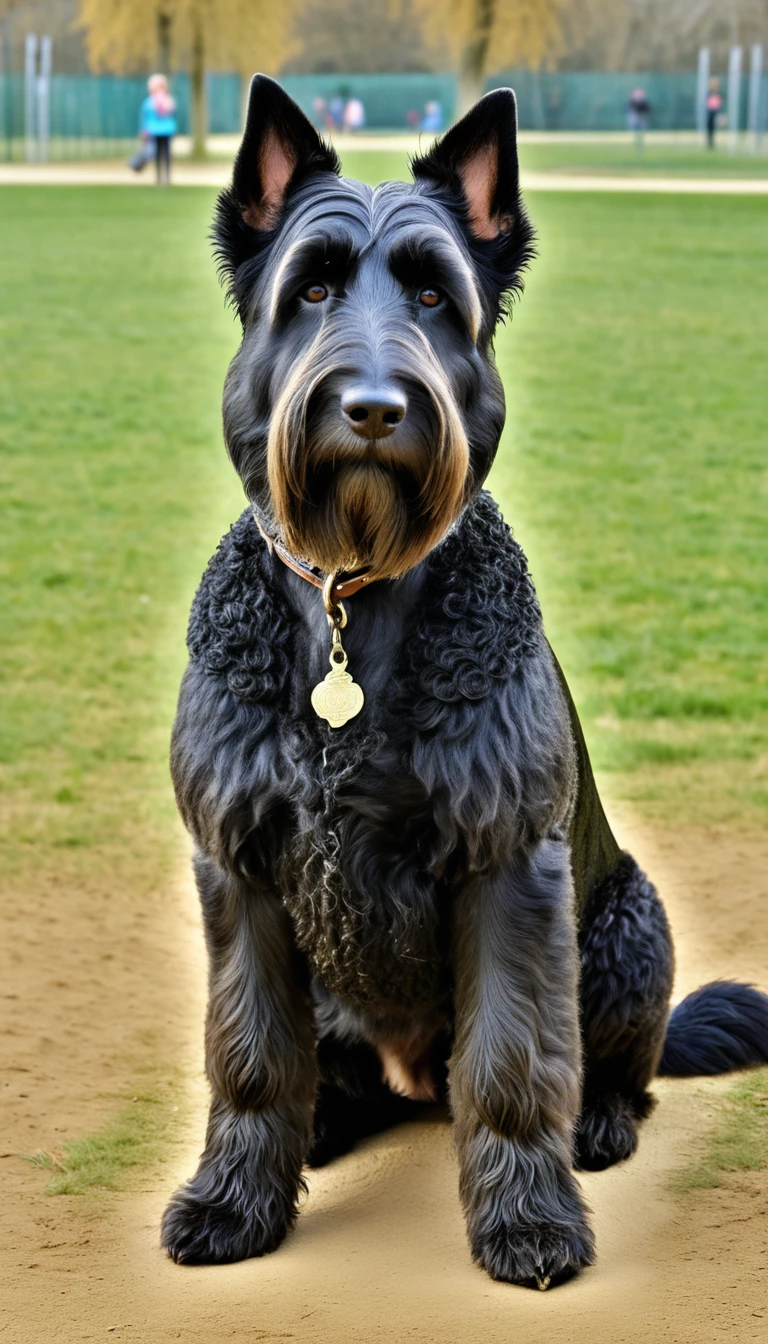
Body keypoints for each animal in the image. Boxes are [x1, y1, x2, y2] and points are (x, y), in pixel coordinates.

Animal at [162, 76, 768, 1290]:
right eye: (311, 288)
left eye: (437, 295)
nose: (373, 406)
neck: (353, 610)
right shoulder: (239, 871)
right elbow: (249, 1055)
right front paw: (235, 1201)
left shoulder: (506, 867)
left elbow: (512, 1060)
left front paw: (529, 1219)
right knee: (322, 1071)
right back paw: (326, 1122)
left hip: (625, 924)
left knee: (606, 1067)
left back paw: (599, 1123)